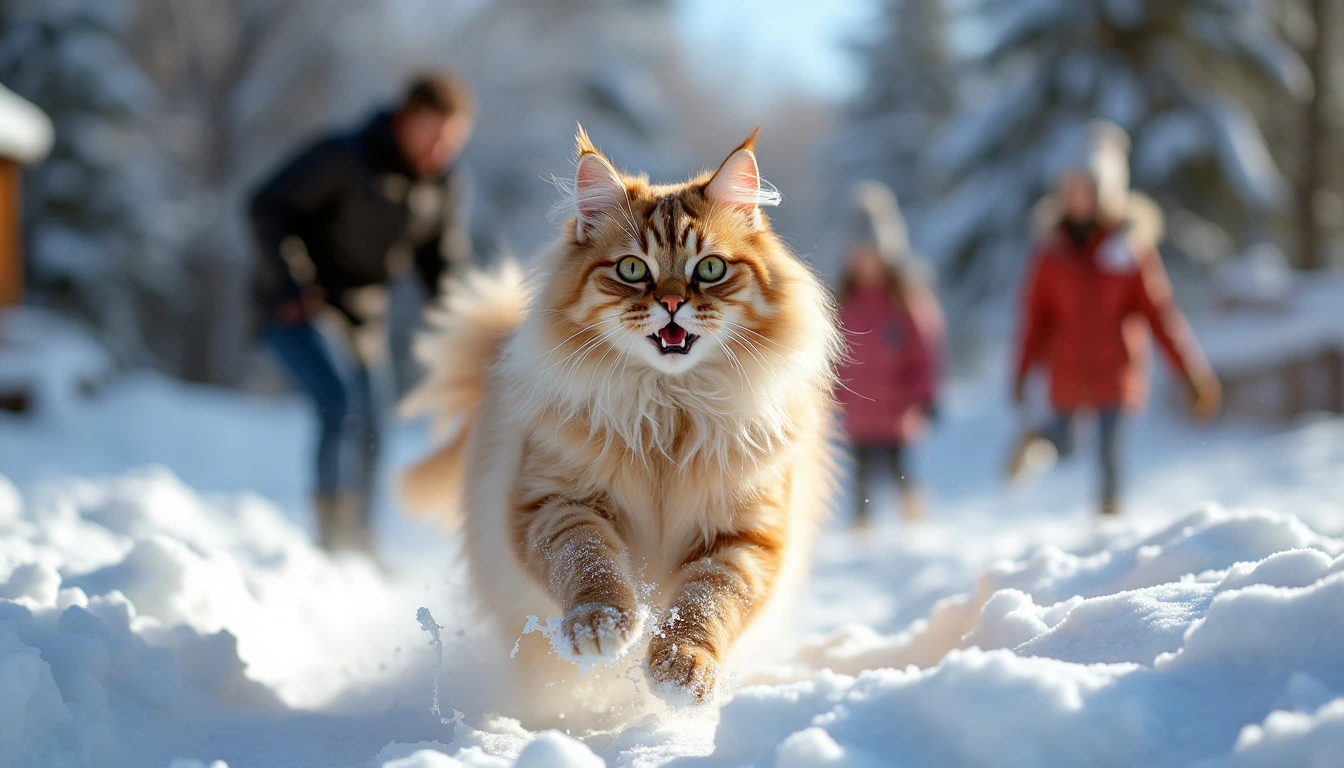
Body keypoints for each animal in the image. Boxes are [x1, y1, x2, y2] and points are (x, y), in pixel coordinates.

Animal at [397, 126, 838, 720]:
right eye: (632, 269)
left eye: (710, 269)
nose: (672, 302)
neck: (670, 411)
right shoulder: (556, 503)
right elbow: (591, 563)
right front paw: (600, 627)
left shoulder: (745, 532)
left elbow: (707, 603)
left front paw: (683, 670)